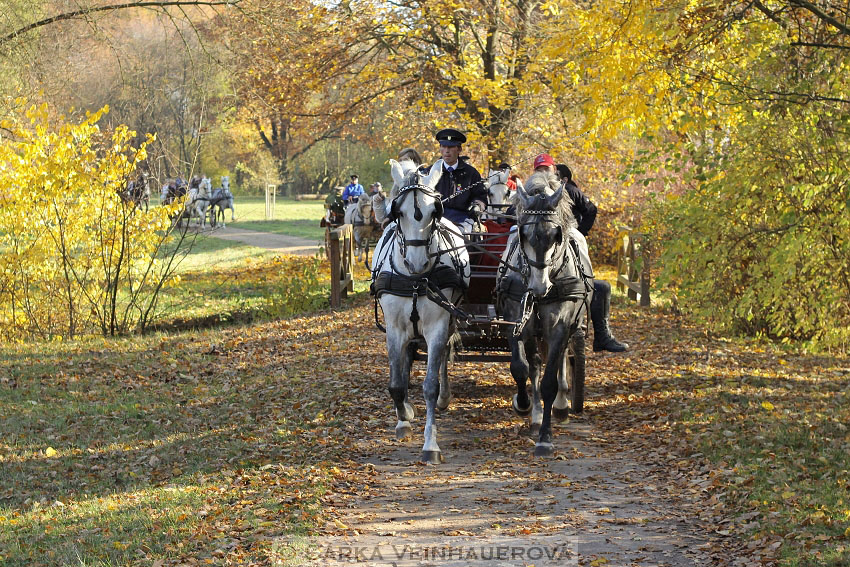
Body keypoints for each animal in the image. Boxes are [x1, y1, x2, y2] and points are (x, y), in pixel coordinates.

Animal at [368, 160, 468, 466]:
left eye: (435, 211)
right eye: (397, 212)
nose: (417, 262)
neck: (414, 280)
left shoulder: (438, 325)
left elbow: (430, 385)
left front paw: (430, 444)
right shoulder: (394, 328)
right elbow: (396, 384)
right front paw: (404, 417)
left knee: (444, 354)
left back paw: (445, 397)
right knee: (407, 359)